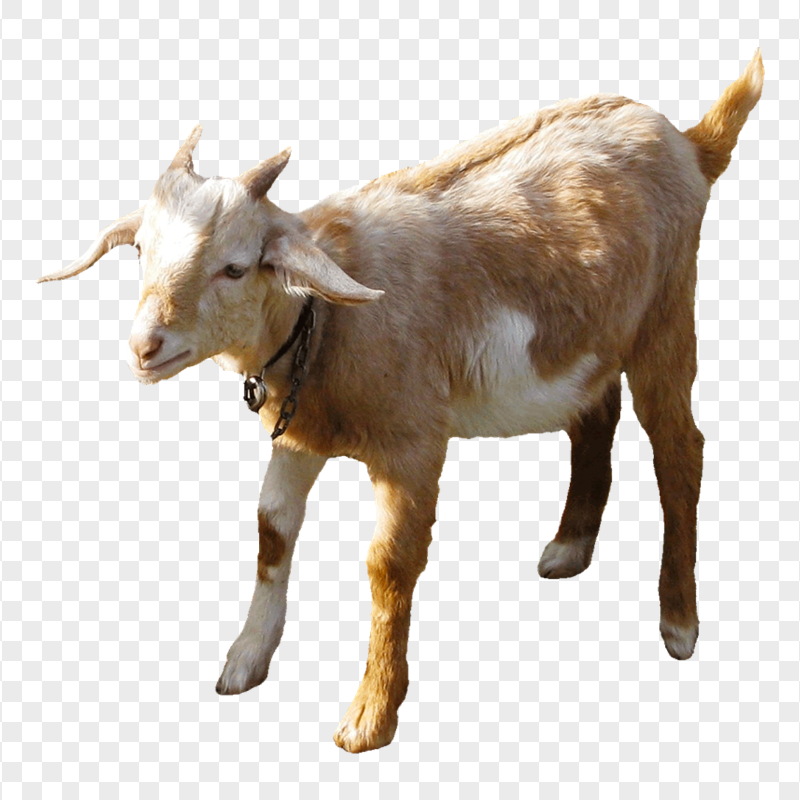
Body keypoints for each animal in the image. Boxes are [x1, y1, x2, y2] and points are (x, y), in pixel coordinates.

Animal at [40, 51, 763, 752]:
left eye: (236, 267)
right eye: (140, 249)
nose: (144, 347)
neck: (323, 316)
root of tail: (689, 142)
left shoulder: (413, 442)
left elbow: (388, 563)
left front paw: (369, 717)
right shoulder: (301, 432)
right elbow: (272, 529)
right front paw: (245, 659)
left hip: (665, 316)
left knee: (681, 449)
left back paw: (679, 621)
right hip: (591, 339)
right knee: (596, 416)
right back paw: (569, 545)